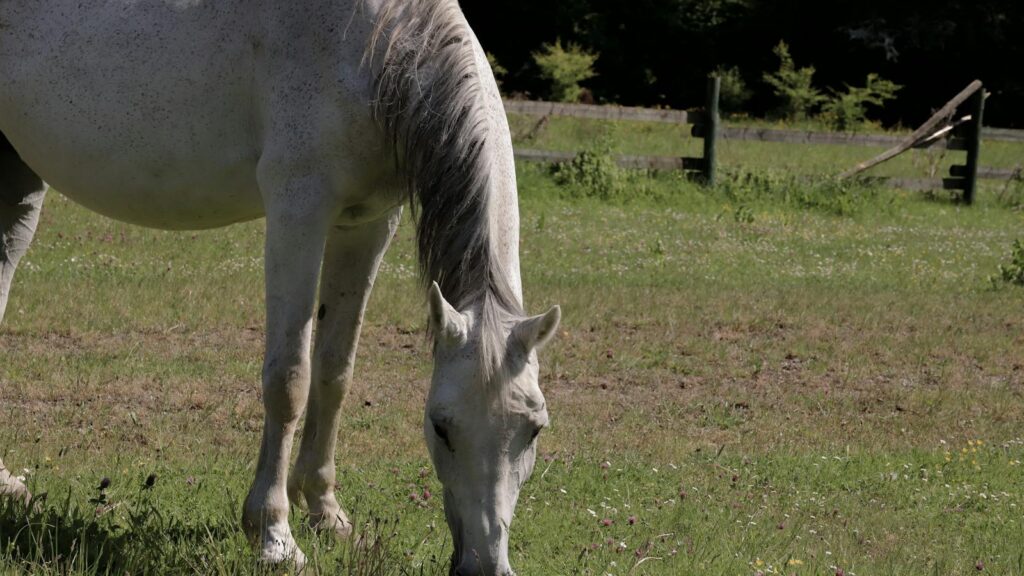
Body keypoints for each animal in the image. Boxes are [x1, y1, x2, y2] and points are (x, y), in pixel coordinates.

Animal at [0, 1, 560, 574]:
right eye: (440, 425)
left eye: (534, 429)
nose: (484, 564)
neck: (376, 45)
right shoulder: (298, 210)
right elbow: (289, 378)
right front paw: (274, 535)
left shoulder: (369, 223)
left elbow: (335, 373)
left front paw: (325, 513)